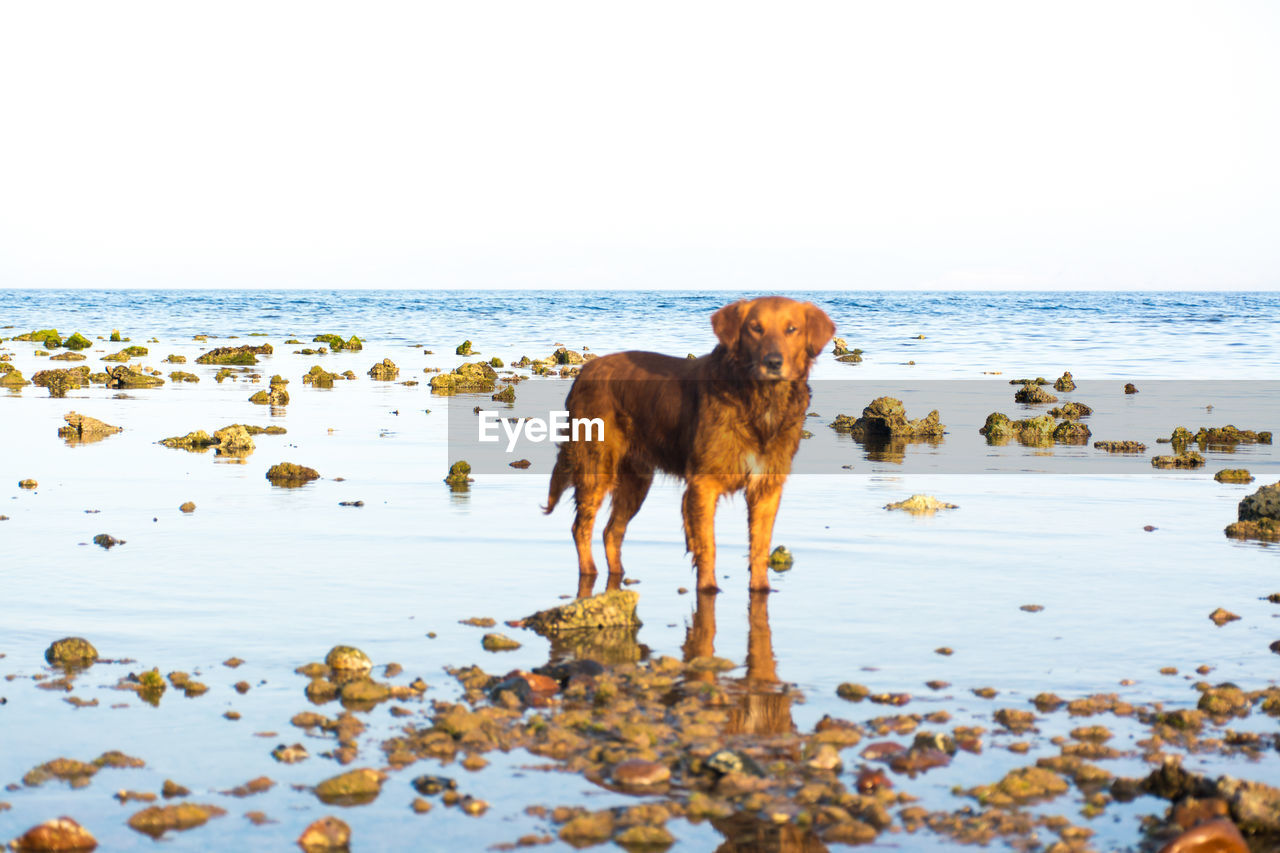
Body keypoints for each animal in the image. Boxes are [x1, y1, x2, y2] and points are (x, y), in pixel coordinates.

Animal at [545, 297, 834, 591]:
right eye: (755, 328)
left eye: (792, 329)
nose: (773, 362)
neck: (759, 401)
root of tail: (585, 371)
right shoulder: (704, 482)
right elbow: (707, 546)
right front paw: (708, 590)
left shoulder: (766, 487)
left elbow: (759, 548)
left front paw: (761, 589)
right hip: (597, 465)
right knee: (582, 527)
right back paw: (590, 576)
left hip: (636, 480)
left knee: (611, 531)